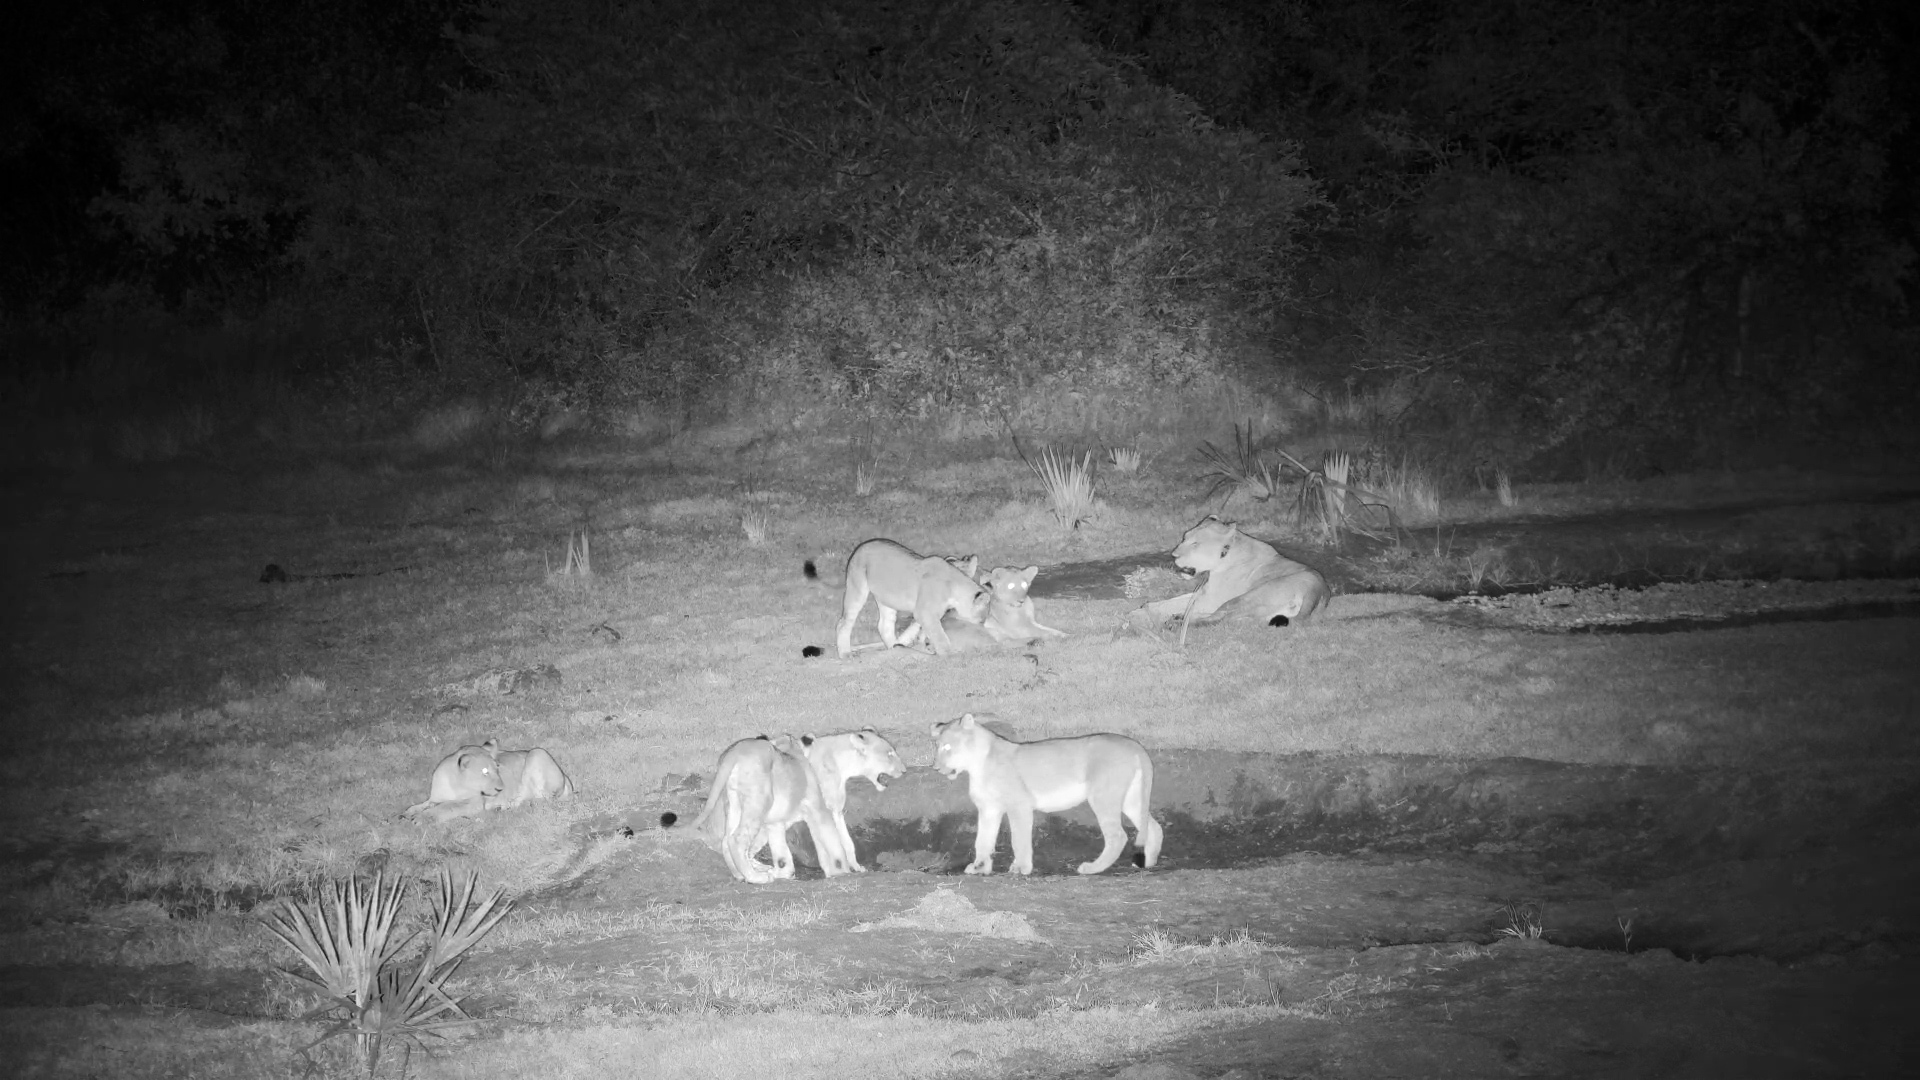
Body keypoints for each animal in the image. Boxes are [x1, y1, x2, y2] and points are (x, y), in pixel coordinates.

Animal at [401, 739, 574, 824]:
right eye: (485, 772)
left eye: (497, 767)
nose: (500, 789)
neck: (452, 785)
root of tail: (567, 779)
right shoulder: (435, 798)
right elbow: (425, 804)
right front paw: (408, 813)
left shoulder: (474, 803)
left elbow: (447, 807)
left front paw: (421, 819)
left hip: (537, 753)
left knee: (545, 799)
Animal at [686, 735, 853, 883]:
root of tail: (735, 752)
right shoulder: (817, 806)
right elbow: (832, 840)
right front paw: (841, 870)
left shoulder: (776, 822)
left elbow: (780, 851)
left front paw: (783, 871)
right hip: (760, 800)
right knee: (738, 839)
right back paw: (756, 877)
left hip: (734, 803)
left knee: (727, 841)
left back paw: (741, 874)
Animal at [803, 539, 991, 658]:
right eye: (982, 617)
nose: (982, 624)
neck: (954, 583)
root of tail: (859, 548)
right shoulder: (924, 613)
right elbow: (940, 637)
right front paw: (948, 655)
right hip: (857, 589)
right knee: (843, 623)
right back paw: (846, 654)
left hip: (887, 598)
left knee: (884, 626)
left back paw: (894, 649)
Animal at [930, 712, 1163, 875]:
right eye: (937, 746)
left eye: (947, 747)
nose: (935, 768)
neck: (976, 765)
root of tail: (1135, 745)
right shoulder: (989, 808)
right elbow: (983, 840)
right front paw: (979, 867)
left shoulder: (1019, 805)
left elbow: (1019, 839)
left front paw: (1021, 868)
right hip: (1132, 799)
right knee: (1154, 827)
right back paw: (1148, 863)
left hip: (1103, 796)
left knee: (1118, 835)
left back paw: (1092, 868)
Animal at [1132, 516, 1331, 629]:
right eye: (1184, 537)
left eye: (1195, 543)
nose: (1173, 555)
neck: (1223, 557)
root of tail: (1318, 590)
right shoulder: (1205, 593)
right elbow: (1177, 601)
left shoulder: (1211, 598)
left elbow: (1170, 604)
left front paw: (1141, 612)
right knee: (1223, 618)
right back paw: (1180, 617)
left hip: (1247, 597)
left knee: (1216, 619)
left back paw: (1176, 623)